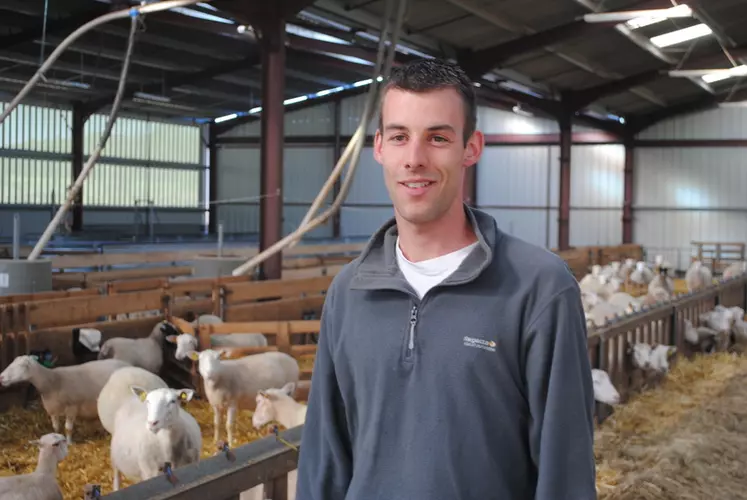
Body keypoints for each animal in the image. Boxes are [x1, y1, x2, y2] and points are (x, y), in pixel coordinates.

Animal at [0, 354, 130, 444]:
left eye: (22, 366)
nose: (1, 377)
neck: (53, 381)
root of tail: (125, 363)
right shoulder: (52, 409)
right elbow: (55, 428)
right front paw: (55, 439)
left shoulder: (72, 407)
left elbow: (68, 428)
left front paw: (69, 443)